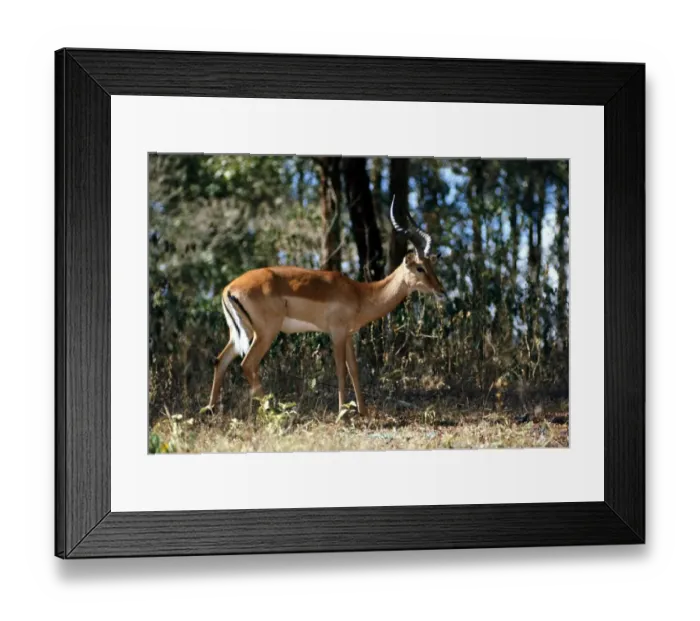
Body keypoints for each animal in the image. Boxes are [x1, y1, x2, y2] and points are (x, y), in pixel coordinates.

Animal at [200, 197, 446, 418]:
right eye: (419, 267)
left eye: (432, 265)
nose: (441, 290)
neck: (360, 293)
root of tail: (229, 288)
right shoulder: (336, 333)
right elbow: (340, 370)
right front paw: (342, 413)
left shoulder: (348, 335)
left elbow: (354, 370)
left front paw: (363, 412)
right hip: (265, 333)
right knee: (248, 364)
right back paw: (274, 411)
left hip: (241, 334)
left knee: (220, 360)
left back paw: (210, 410)